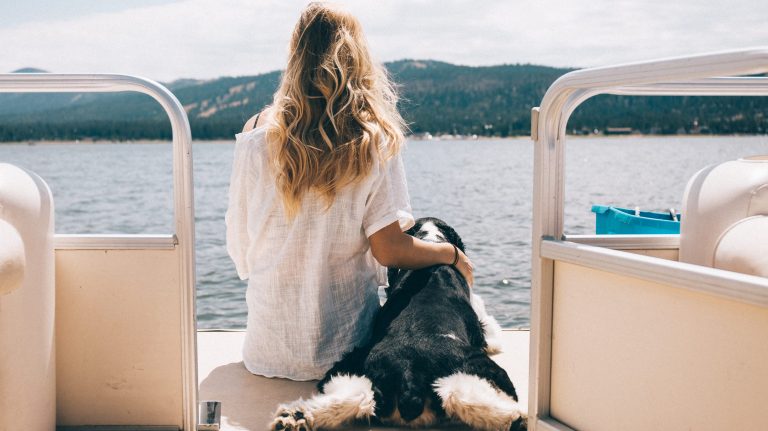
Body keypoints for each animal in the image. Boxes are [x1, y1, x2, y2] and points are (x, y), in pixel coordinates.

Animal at [270, 219, 528, 431]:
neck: (430, 239)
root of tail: (408, 374)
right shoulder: (483, 327)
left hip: (353, 369)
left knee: (352, 396)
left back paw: (292, 419)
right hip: (476, 368)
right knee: (470, 398)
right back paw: (519, 419)